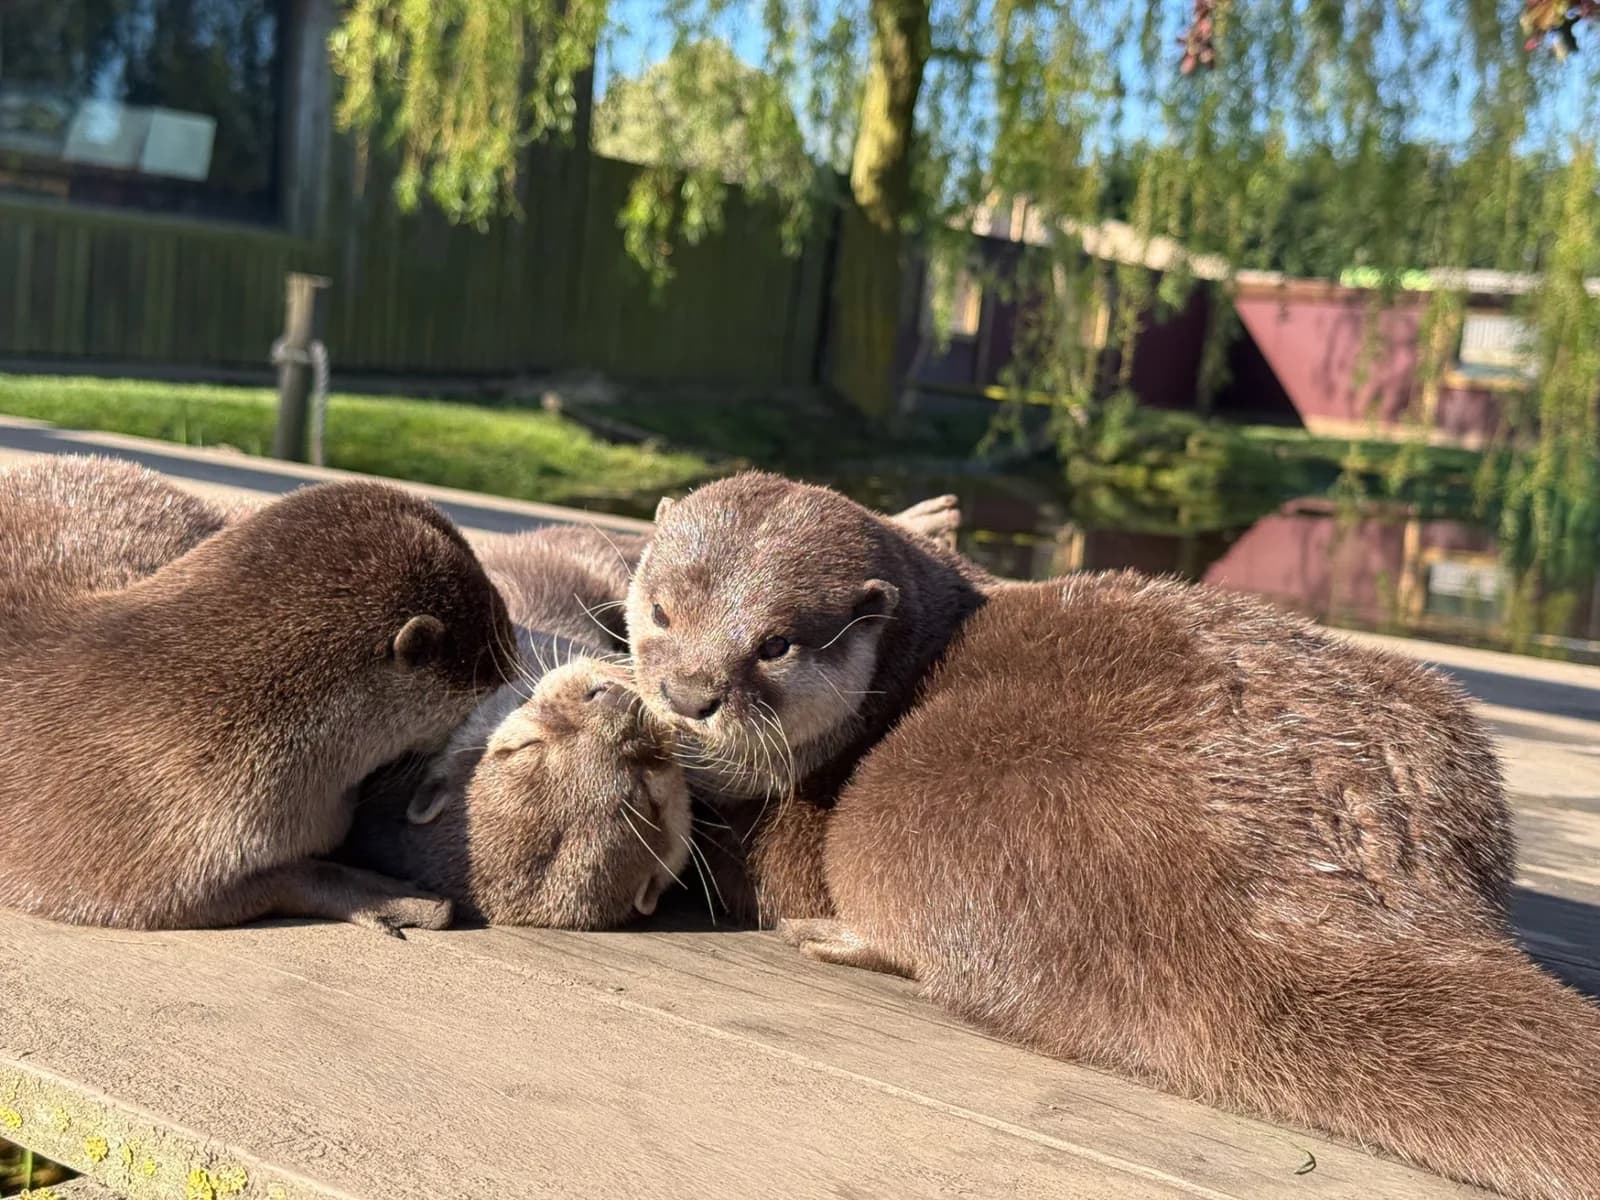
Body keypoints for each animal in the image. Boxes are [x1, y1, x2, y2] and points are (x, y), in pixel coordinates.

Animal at [627, 472, 1599, 1200]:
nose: (689, 693)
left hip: (929, 802)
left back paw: (838, 936)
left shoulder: (817, 797)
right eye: (663, 610)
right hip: (1445, 729)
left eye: (776, 644)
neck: (916, 651)